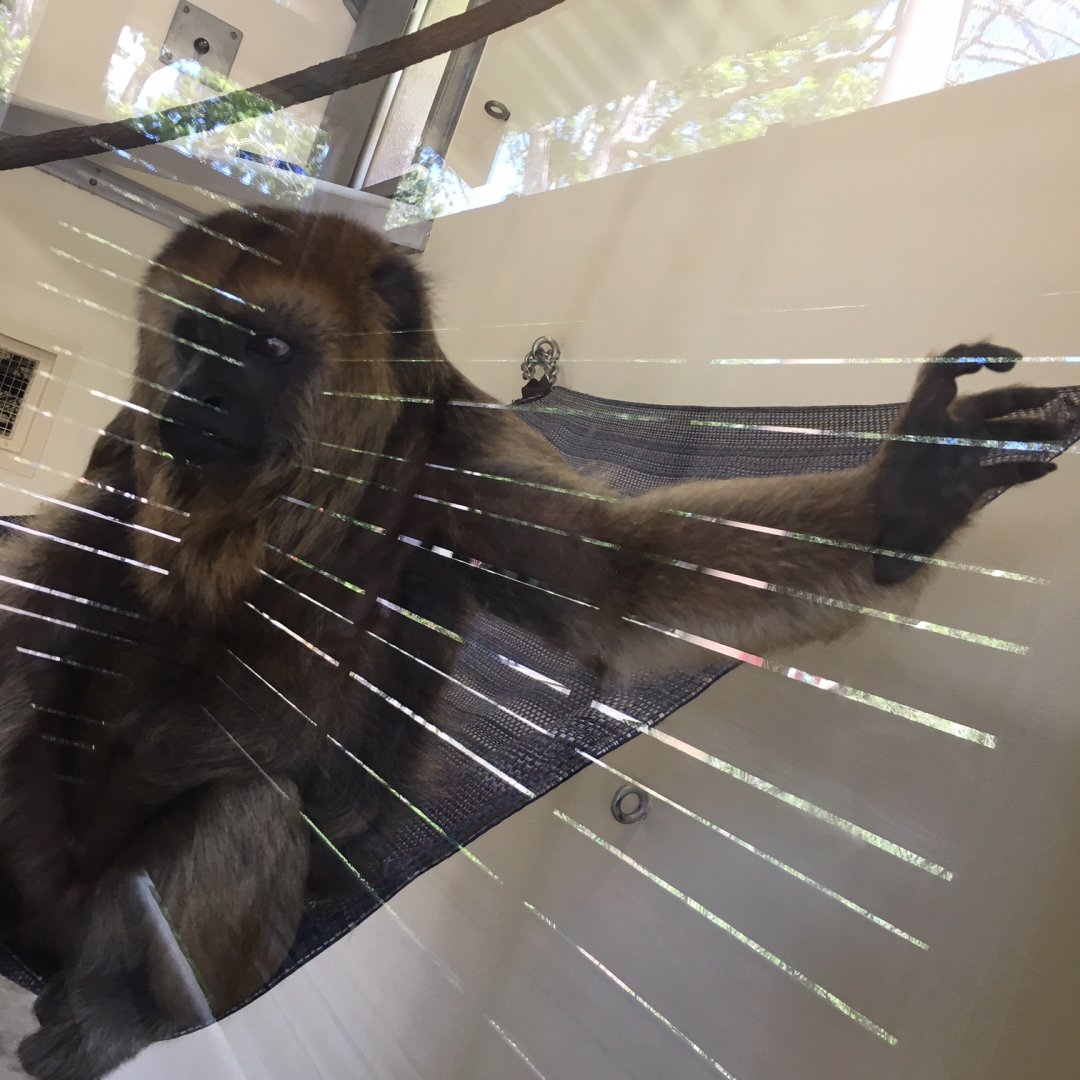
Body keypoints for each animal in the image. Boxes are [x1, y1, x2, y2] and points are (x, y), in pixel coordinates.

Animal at [0, 206, 1070, 1079]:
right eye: (194, 337)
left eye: (261, 343)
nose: (198, 397)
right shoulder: (129, 442)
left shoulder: (461, 453)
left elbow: (617, 580)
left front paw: (908, 497)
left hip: (140, 928)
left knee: (246, 806)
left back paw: (119, 1014)